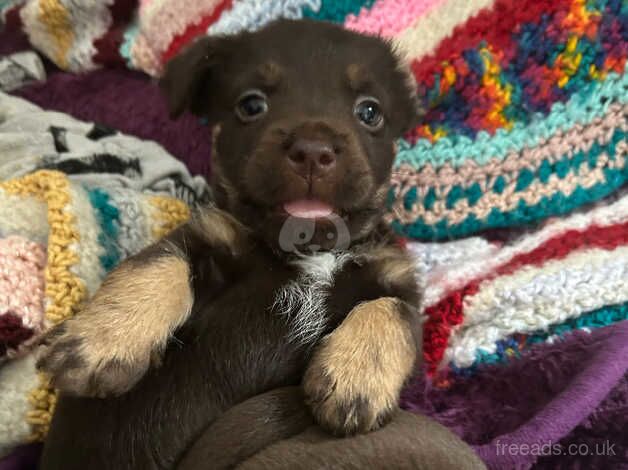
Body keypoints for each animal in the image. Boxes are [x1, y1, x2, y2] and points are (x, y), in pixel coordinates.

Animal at [38, 20, 426, 468]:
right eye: (251, 105)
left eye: (370, 112)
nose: (312, 151)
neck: (308, 251)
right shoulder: (207, 236)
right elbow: (156, 264)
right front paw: (102, 339)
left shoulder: (398, 279)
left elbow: (396, 311)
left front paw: (356, 376)